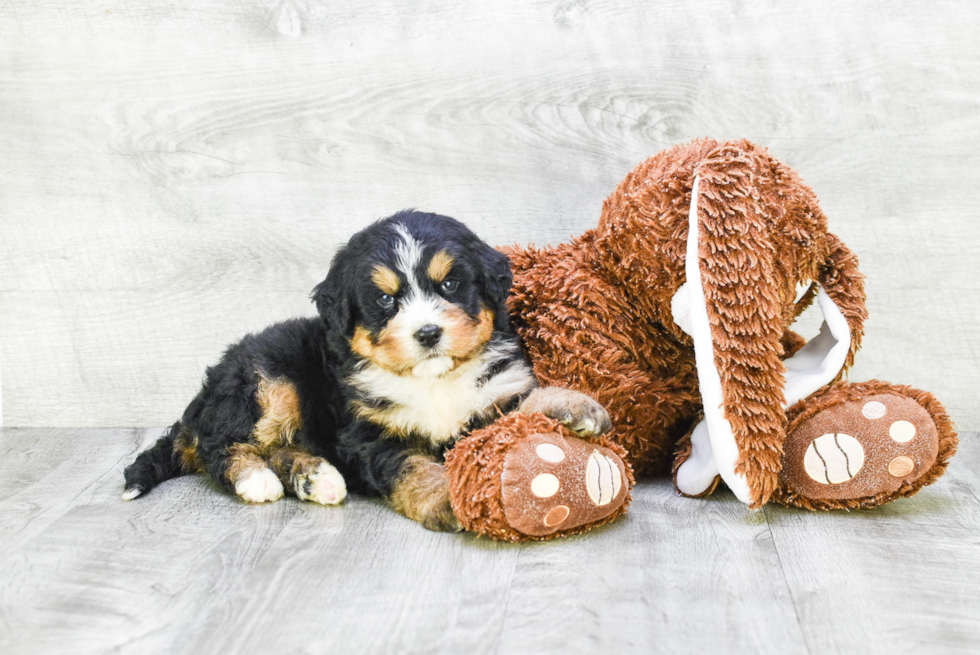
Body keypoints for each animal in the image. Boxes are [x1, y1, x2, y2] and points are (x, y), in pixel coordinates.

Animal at [123, 213, 608, 532]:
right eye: (385, 299)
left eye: (450, 284)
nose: (428, 333)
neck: (431, 381)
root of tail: (200, 402)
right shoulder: (369, 434)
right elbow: (410, 466)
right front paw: (445, 496)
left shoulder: (493, 393)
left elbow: (529, 399)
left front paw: (575, 406)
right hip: (268, 380)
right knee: (219, 445)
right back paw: (257, 479)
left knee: (276, 448)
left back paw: (313, 478)